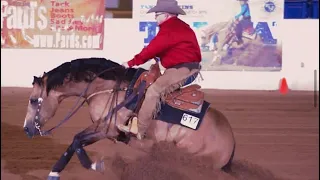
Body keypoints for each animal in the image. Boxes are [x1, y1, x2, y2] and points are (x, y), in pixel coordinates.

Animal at [22, 57, 235, 180]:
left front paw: (96, 165)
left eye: (33, 100)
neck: (107, 88)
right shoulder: (103, 128)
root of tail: (231, 141)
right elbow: (74, 143)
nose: (26, 129)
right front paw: (54, 173)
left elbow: (76, 141)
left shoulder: (107, 129)